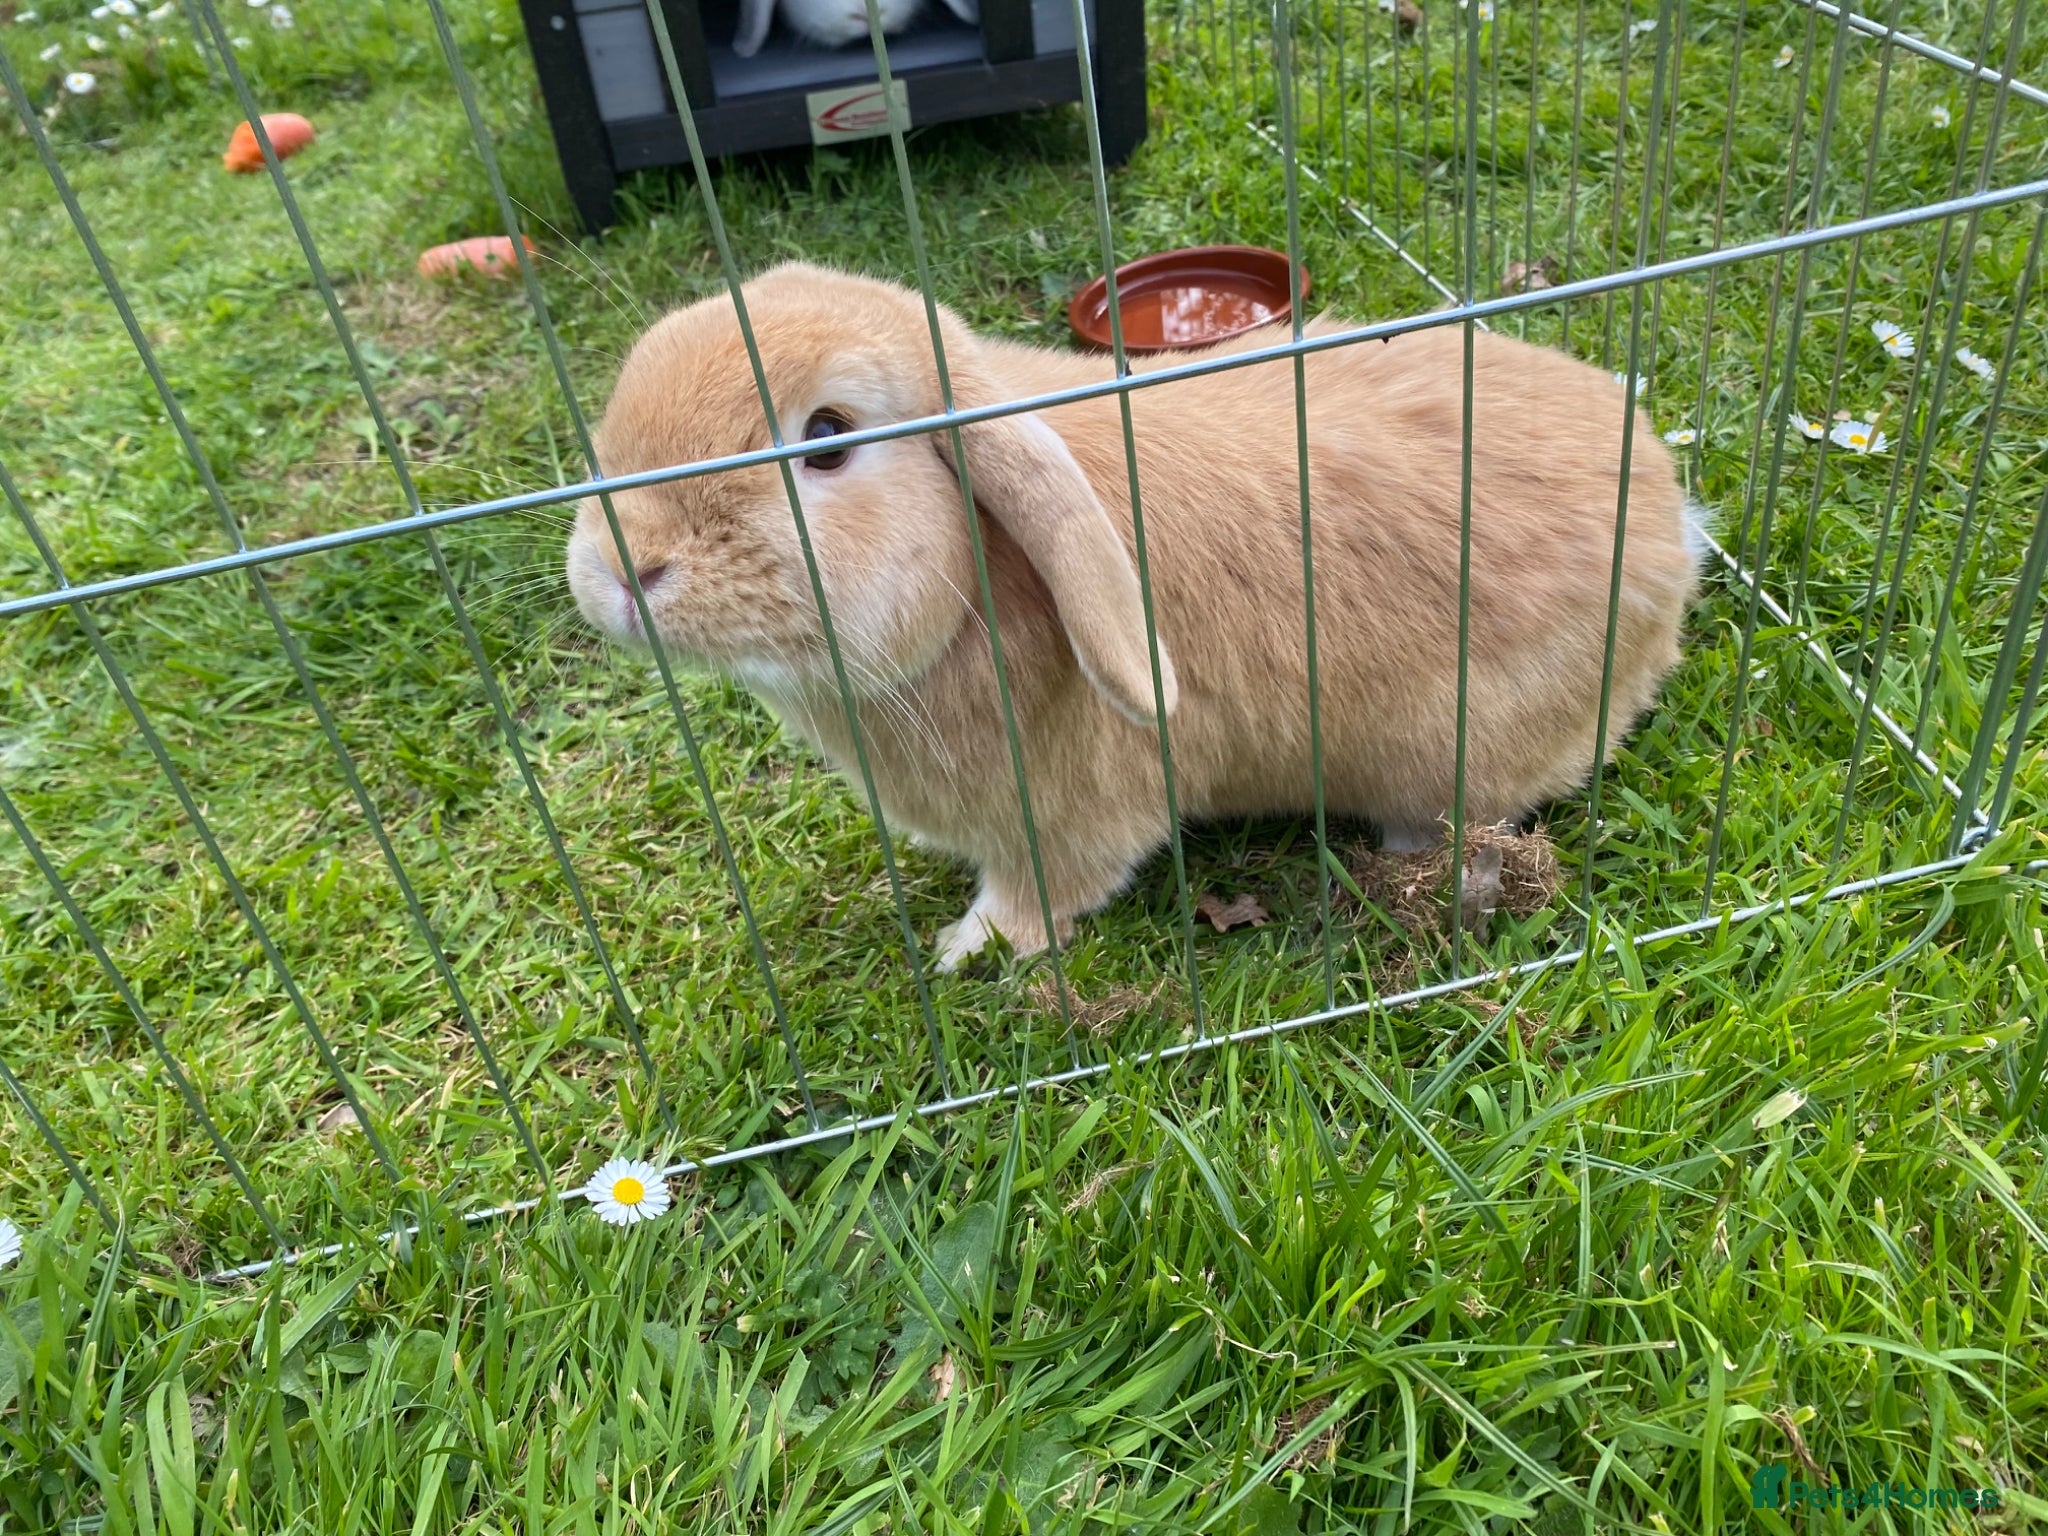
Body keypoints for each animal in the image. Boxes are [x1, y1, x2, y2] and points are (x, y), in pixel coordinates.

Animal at [565, 263, 1706, 970]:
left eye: (829, 439)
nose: (624, 565)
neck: (978, 577)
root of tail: (1670, 522)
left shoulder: (1070, 817)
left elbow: (1042, 896)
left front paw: (967, 951)